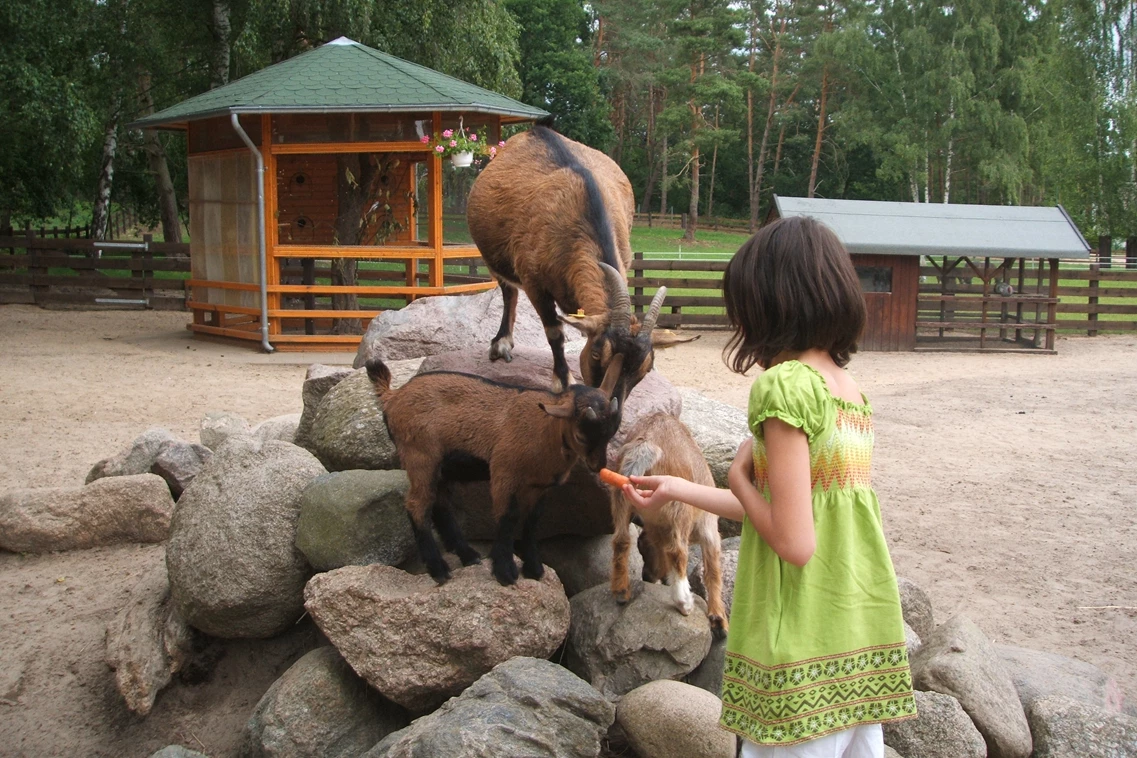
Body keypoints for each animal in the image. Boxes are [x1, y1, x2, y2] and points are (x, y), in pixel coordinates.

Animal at [368, 359, 623, 586]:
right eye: (581, 436)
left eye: (612, 432)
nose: (598, 467)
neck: (544, 428)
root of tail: (392, 397)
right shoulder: (503, 472)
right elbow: (507, 516)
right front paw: (505, 572)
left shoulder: (538, 485)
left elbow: (532, 521)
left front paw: (534, 569)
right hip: (420, 456)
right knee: (417, 505)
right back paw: (439, 569)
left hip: (441, 467)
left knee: (439, 504)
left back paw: (468, 555)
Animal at [604, 411, 727, 636]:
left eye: (645, 549)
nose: (647, 575)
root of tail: (646, 446)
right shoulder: (709, 529)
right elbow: (712, 571)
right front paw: (718, 620)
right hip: (679, 506)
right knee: (677, 551)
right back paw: (683, 602)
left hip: (621, 497)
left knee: (621, 540)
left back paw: (621, 591)